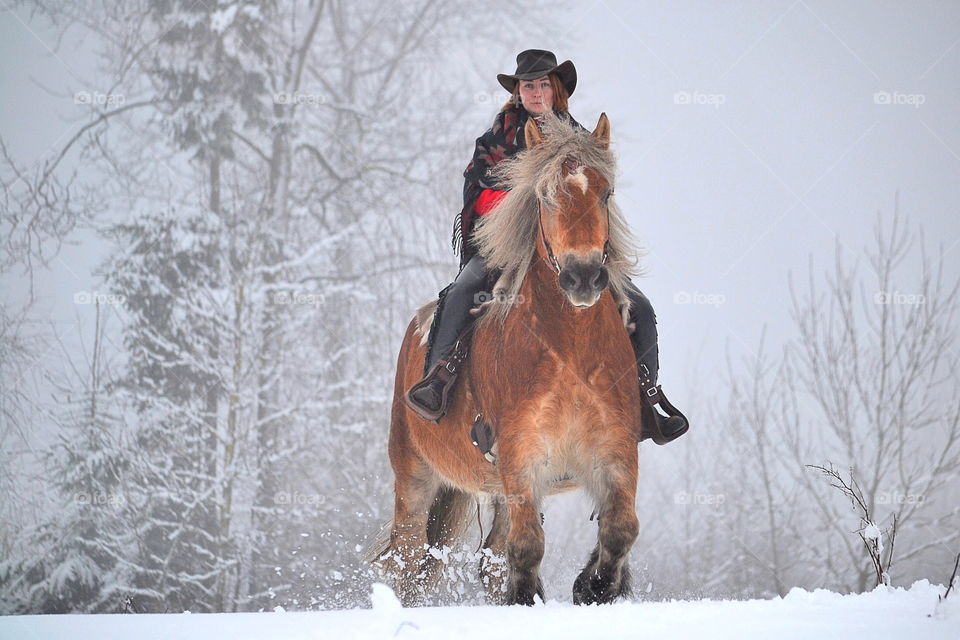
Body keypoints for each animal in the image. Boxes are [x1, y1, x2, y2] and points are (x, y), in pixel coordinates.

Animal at [368, 112, 644, 608]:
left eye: (606, 192)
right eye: (544, 195)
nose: (583, 276)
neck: (569, 348)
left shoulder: (614, 450)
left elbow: (620, 529)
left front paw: (594, 586)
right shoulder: (521, 455)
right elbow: (527, 546)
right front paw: (534, 597)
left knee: (491, 554)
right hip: (415, 477)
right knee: (411, 554)